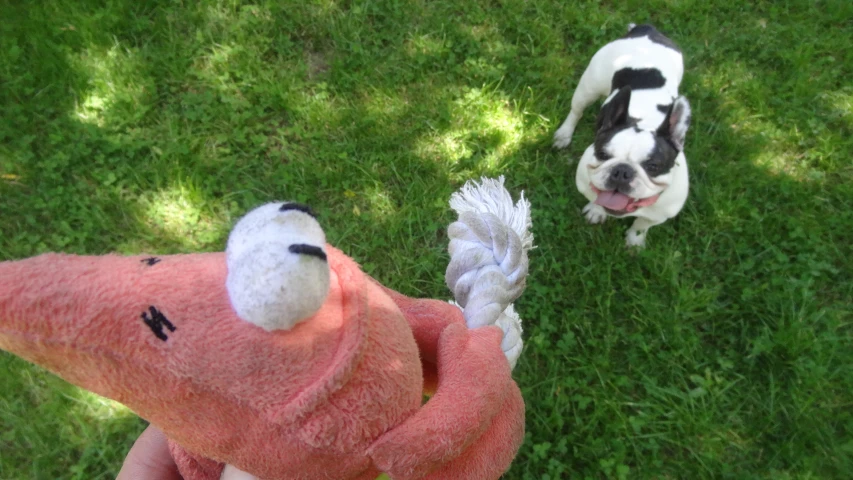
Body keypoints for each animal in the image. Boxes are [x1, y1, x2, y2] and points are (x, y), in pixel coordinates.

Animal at [556, 23, 688, 248]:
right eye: (603, 155)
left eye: (653, 166)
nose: (622, 171)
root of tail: (646, 31)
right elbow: (597, 197)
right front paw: (596, 211)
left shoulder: (659, 214)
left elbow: (642, 224)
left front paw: (635, 241)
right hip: (589, 86)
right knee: (576, 111)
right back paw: (564, 134)